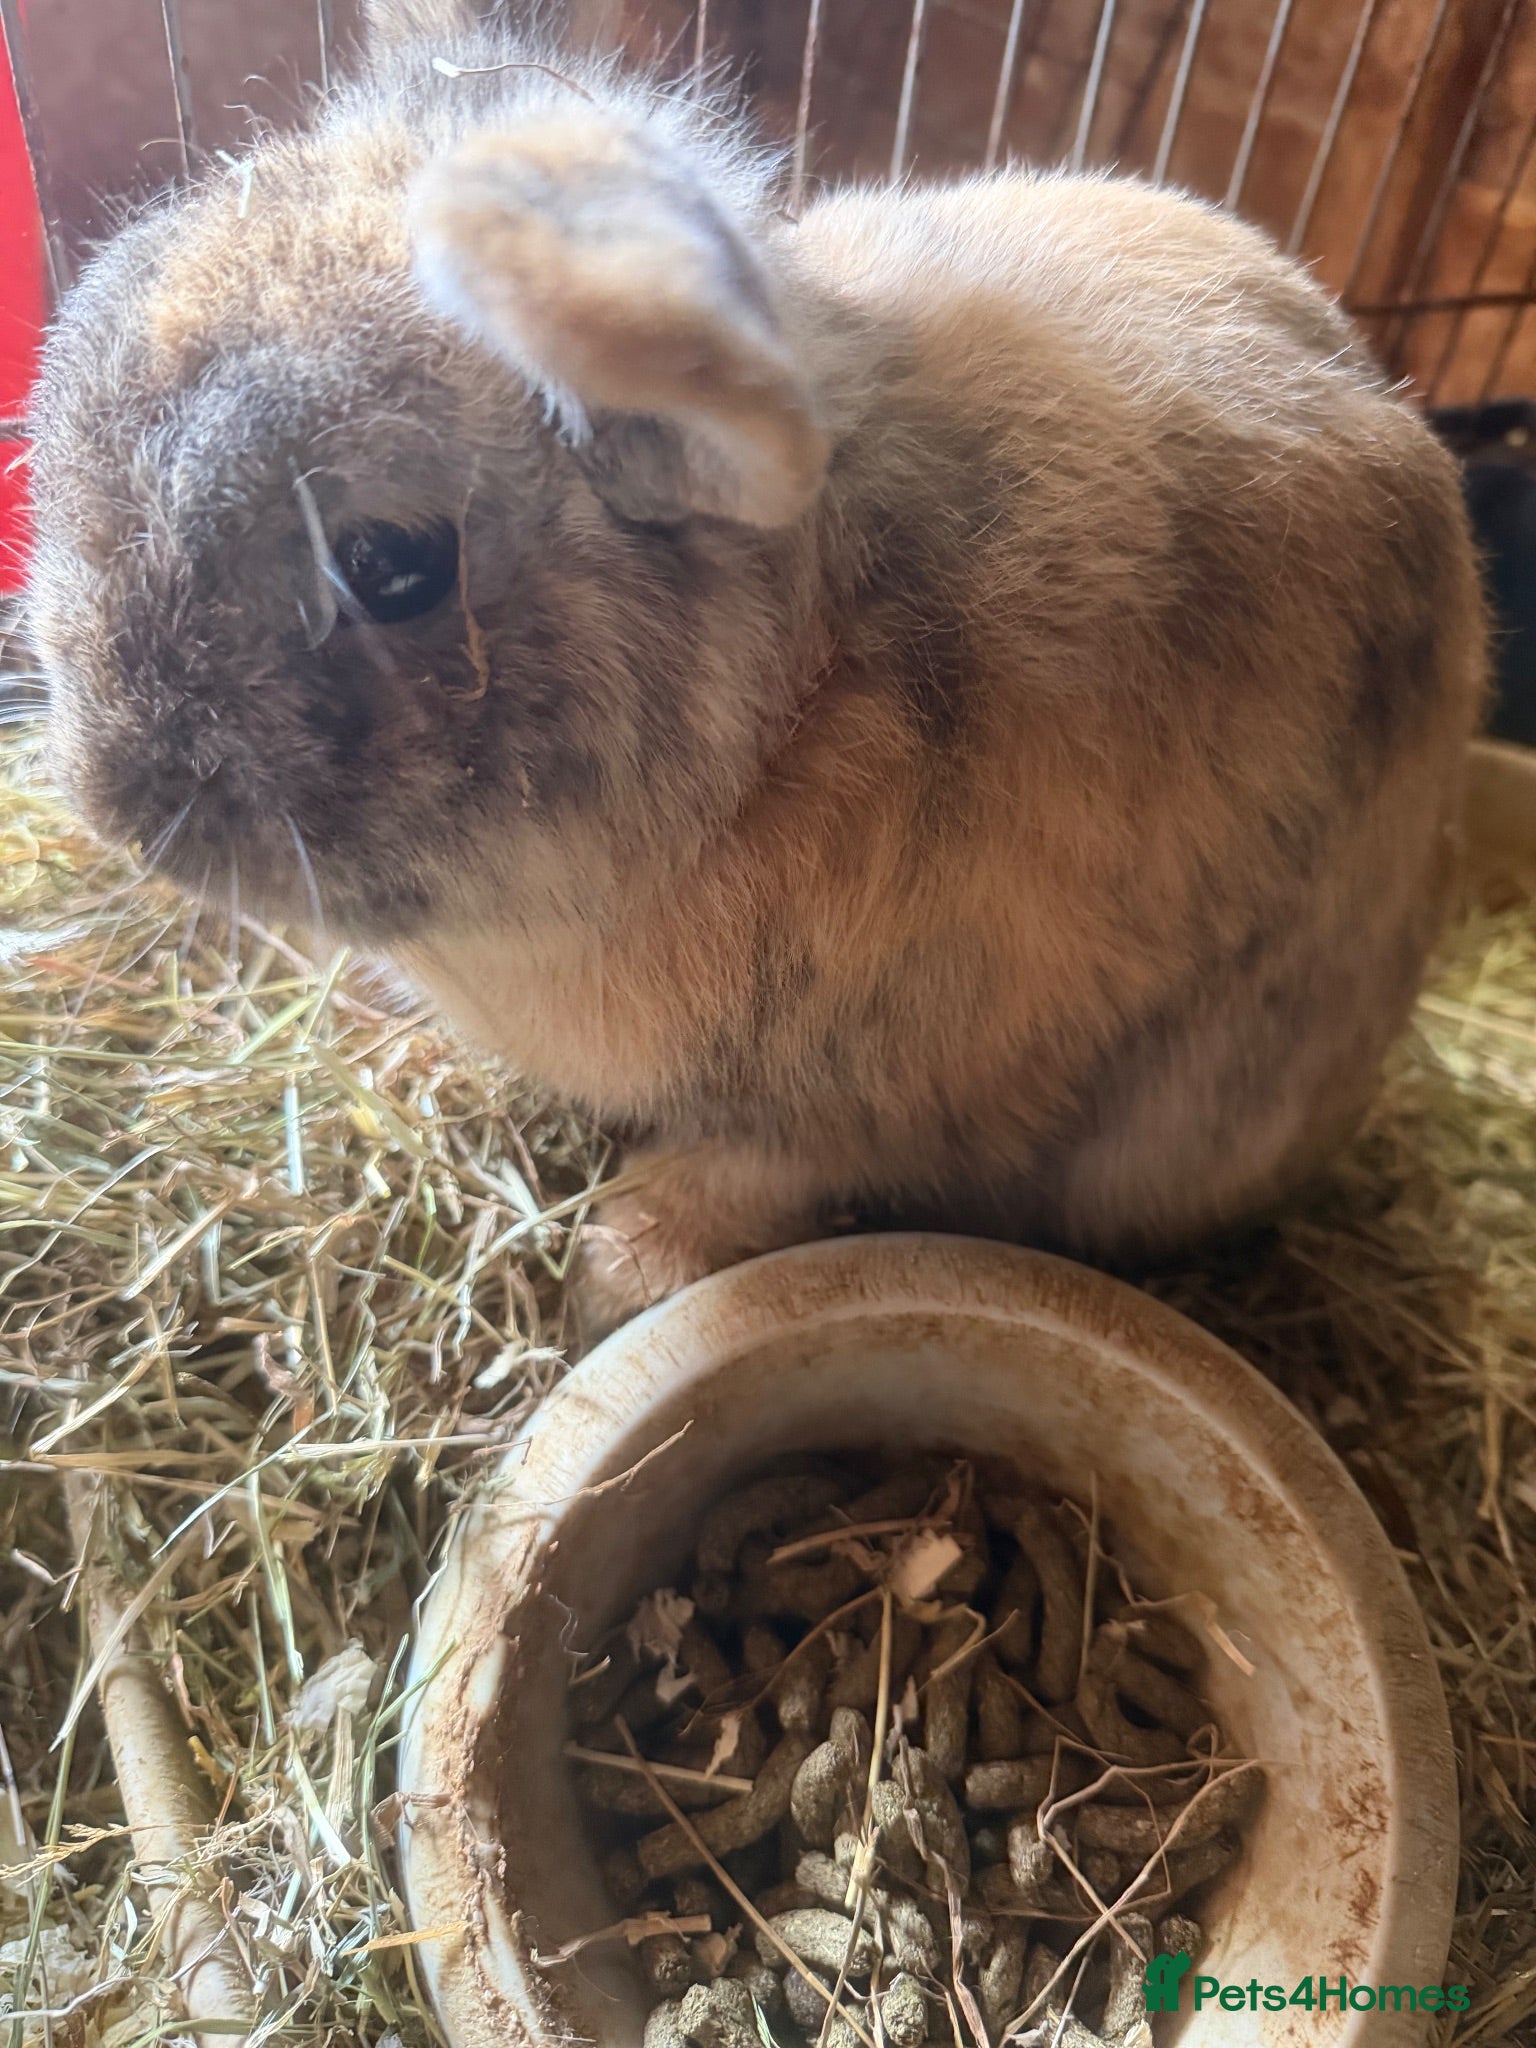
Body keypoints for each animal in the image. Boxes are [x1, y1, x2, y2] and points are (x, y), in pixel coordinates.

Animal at [29, 0, 1486, 1337]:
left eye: (388, 563)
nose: (118, 799)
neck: (781, 731)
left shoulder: (864, 1105)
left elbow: (748, 1178)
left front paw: (616, 1279)